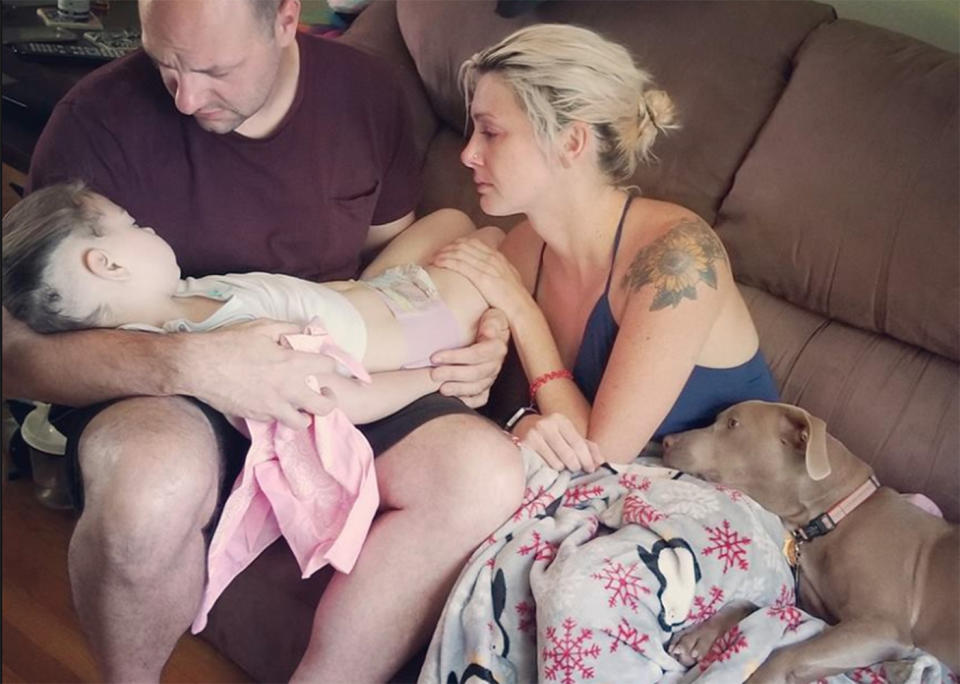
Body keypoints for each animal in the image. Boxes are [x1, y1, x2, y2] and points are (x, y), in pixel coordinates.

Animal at [664, 398, 956, 680]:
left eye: (733, 423)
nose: (666, 440)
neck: (837, 515)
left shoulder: (882, 627)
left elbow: (785, 655)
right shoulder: (821, 614)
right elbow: (760, 605)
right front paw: (699, 636)